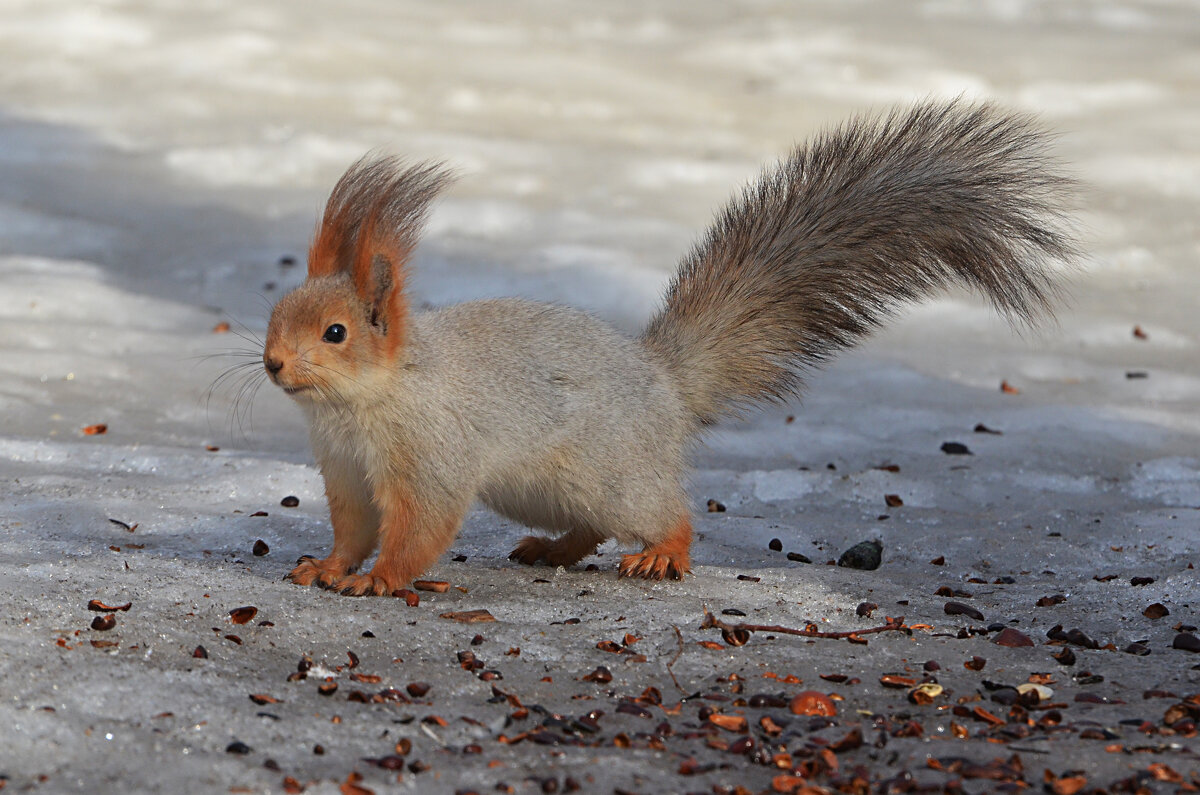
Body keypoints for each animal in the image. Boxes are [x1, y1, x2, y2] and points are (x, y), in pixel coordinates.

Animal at [262, 97, 1080, 598]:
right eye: (274, 314)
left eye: (335, 333)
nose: (272, 365)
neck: (363, 401)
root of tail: (664, 381)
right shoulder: (346, 472)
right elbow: (353, 528)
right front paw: (326, 565)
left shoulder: (431, 454)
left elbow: (419, 527)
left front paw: (379, 578)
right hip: (545, 488)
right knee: (589, 526)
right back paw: (551, 550)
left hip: (612, 474)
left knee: (667, 513)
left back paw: (664, 552)